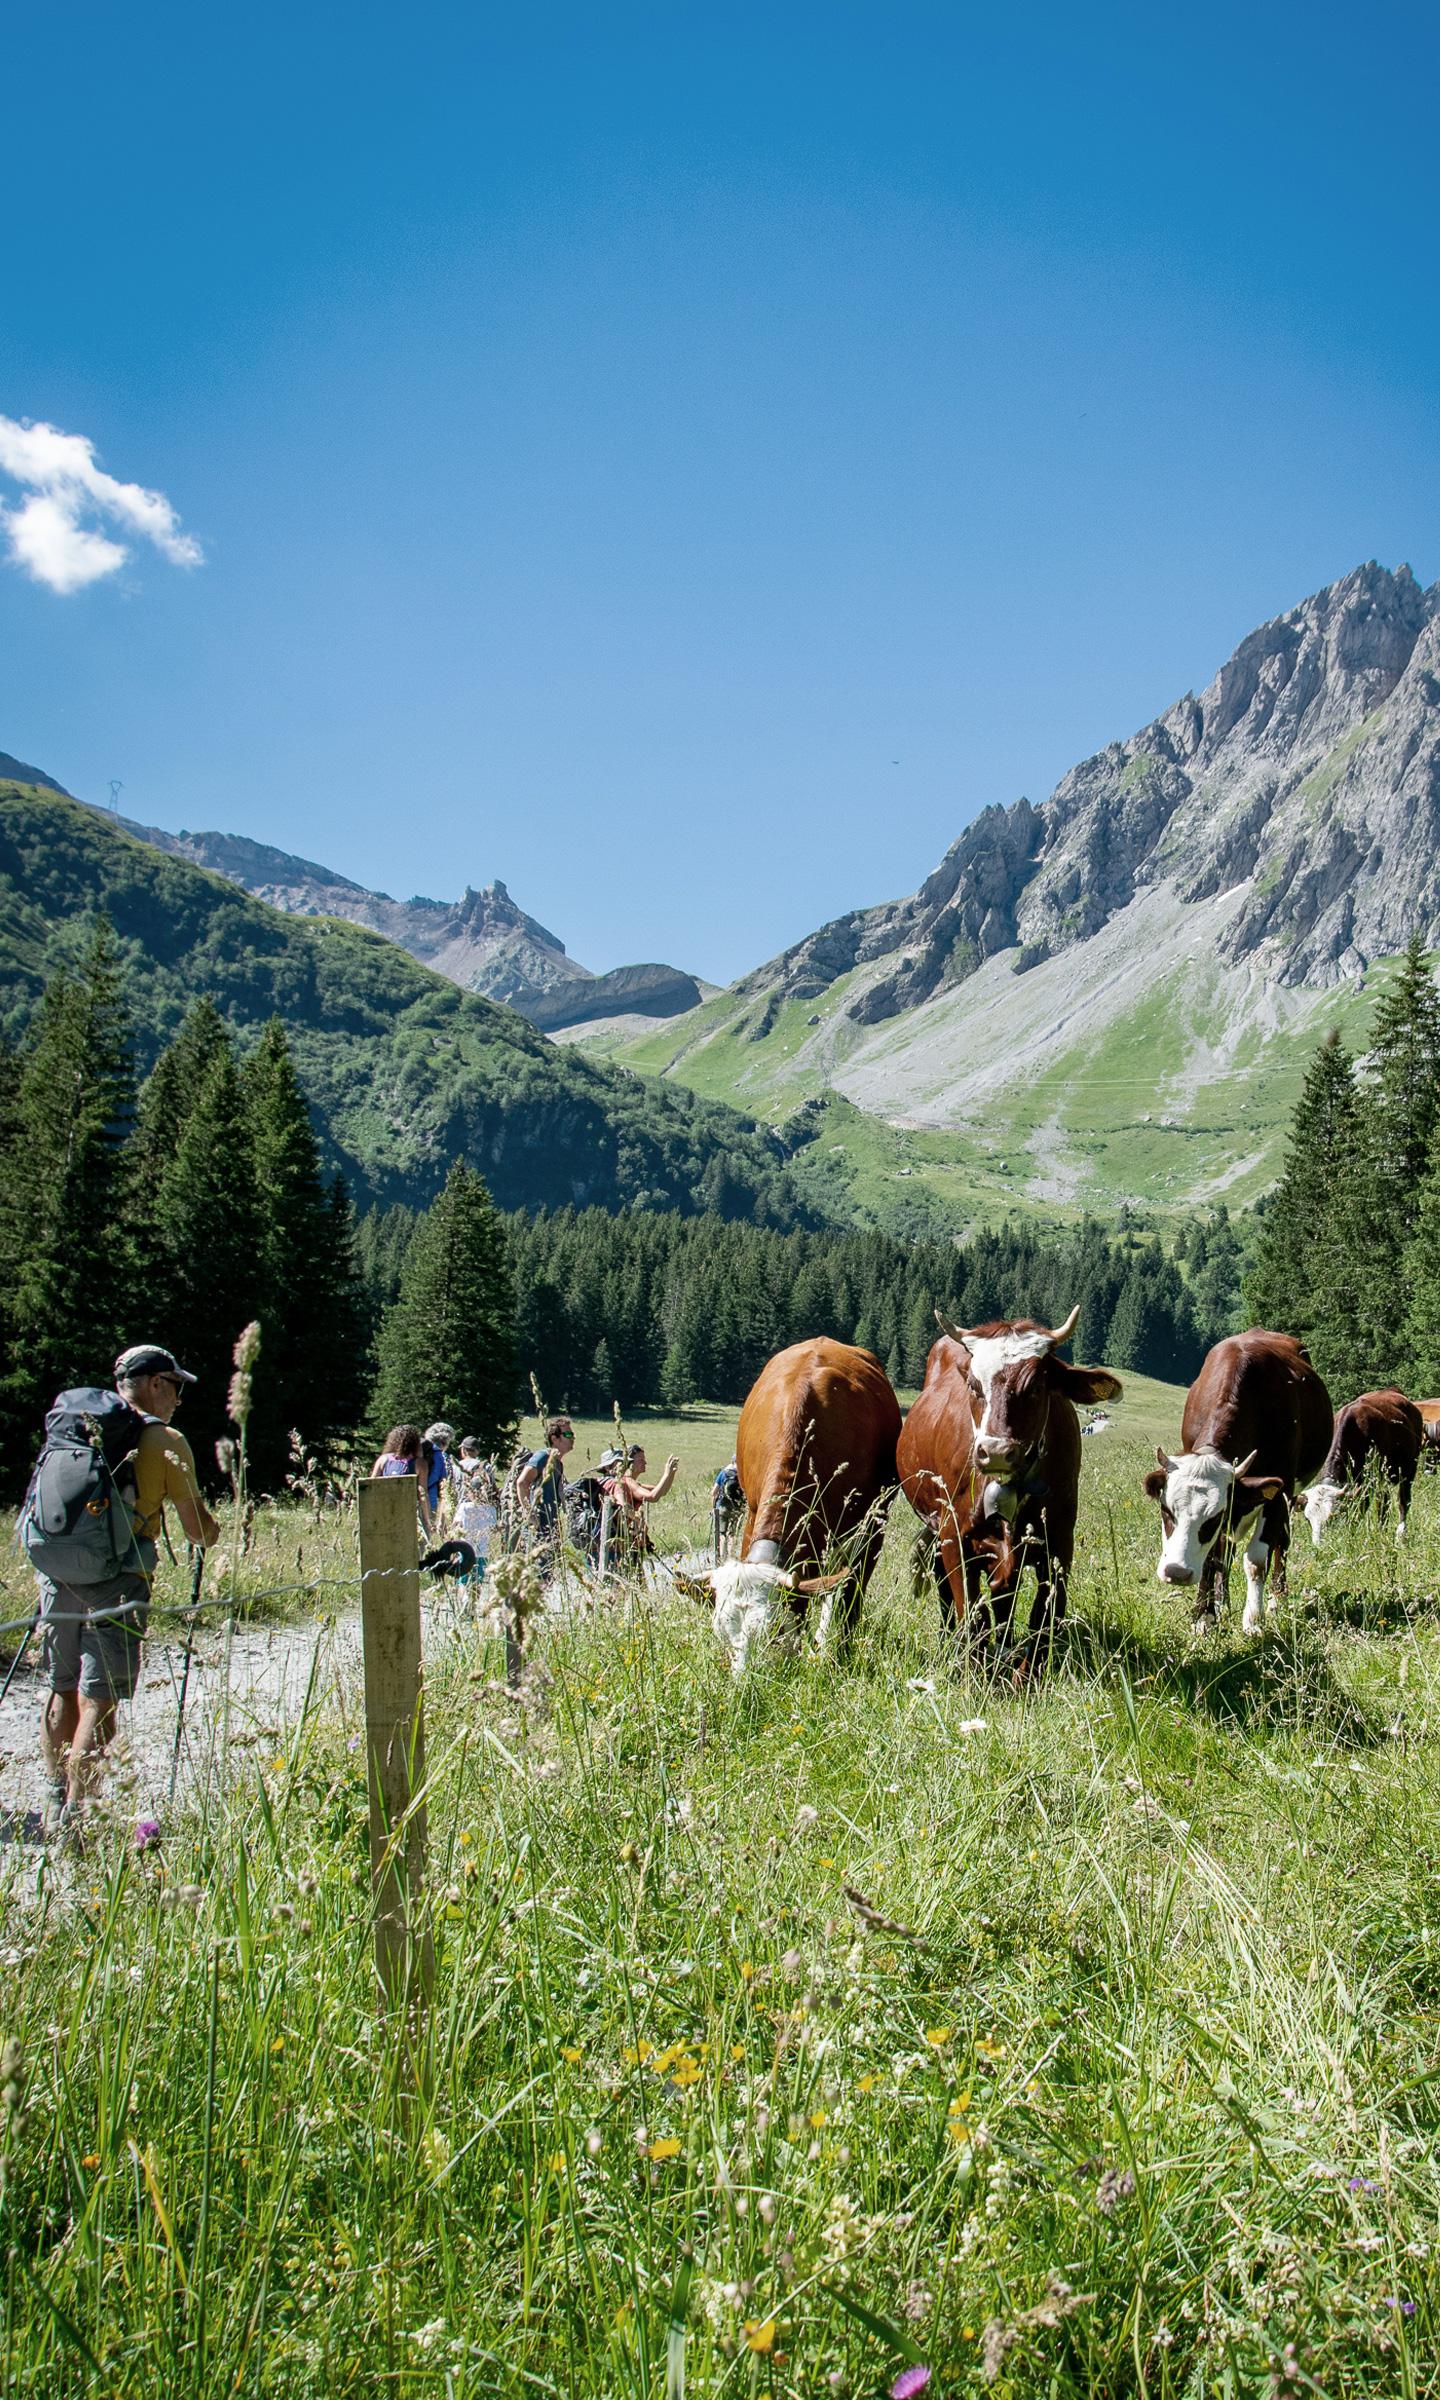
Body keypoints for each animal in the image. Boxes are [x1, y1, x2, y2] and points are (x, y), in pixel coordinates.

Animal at [676, 1334, 892, 1670]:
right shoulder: (753, 1512)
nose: (746, 1681)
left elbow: (844, 1593)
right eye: (721, 1632)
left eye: (775, 1631)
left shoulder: (862, 1526)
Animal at [902, 1305, 1123, 1660]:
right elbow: (973, 1616)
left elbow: (1042, 1619)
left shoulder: (1059, 1541)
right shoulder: (954, 1536)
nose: (995, 1452)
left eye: (1035, 1386)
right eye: (974, 1385)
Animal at [1142, 1324, 1334, 1641]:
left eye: (1212, 1518)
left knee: (1281, 1545)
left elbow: (1256, 1560)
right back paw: (1223, 1602)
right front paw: (1205, 1616)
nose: (1176, 1572)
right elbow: (1212, 1557)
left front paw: (1253, 1620)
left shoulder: (1276, 1493)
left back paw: (1277, 1599)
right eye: (1166, 1511)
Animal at [1296, 1382, 1420, 1545]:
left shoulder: (1370, 1484)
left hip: (1407, 1470)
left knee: (1401, 1502)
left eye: (1332, 1517)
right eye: (1307, 1519)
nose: (1318, 1545)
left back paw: (1399, 1534)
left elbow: (1359, 1513)